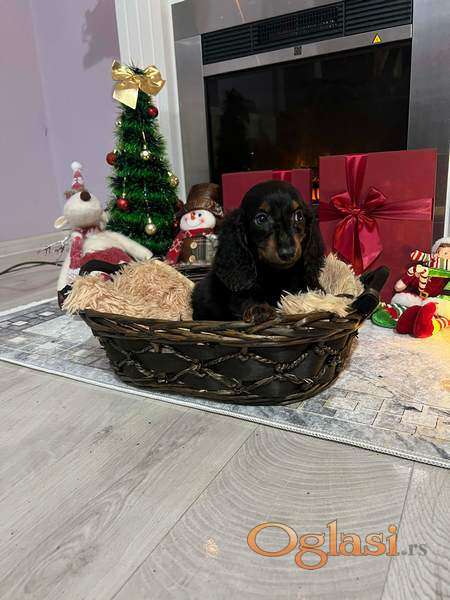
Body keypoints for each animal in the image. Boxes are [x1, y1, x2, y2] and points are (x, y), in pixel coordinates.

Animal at [192, 180, 325, 322]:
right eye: (261, 219)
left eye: (298, 216)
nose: (288, 252)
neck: (277, 275)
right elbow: (247, 296)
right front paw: (259, 308)